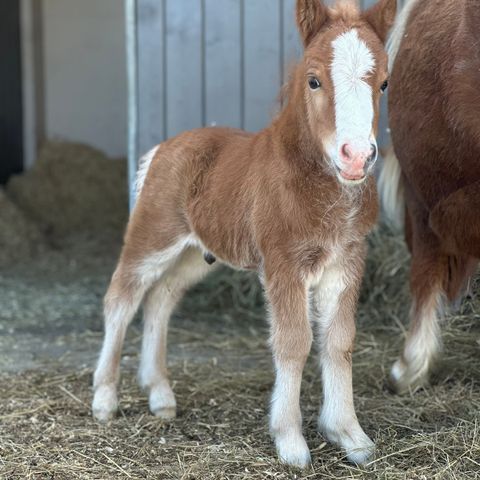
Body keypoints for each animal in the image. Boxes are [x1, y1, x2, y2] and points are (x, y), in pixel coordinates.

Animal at [94, 0, 398, 466]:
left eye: (383, 83)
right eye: (314, 80)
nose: (356, 157)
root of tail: (162, 149)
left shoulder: (346, 261)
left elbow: (339, 341)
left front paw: (350, 436)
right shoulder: (284, 263)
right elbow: (294, 342)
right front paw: (290, 443)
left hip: (196, 254)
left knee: (161, 299)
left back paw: (161, 396)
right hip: (154, 236)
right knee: (122, 299)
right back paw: (105, 400)